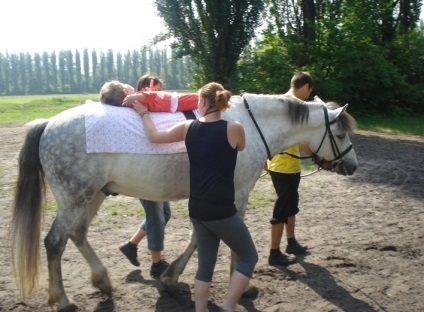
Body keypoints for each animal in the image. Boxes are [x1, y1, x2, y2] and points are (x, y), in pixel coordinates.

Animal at [9, 94, 356, 310]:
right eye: (340, 134)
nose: (352, 166)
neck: (248, 126)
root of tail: (48, 125)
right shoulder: (236, 195)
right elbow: (227, 242)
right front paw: (243, 287)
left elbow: (196, 239)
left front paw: (171, 278)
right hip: (75, 198)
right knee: (55, 242)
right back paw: (62, 299)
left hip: (92, 195)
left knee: (77, 234)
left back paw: (102, 281)